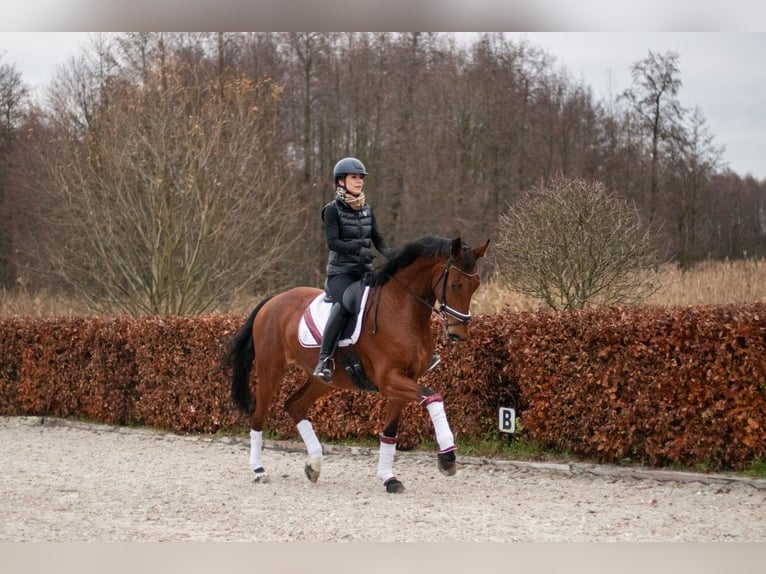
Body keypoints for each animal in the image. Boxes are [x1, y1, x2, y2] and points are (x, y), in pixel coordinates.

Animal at [228, 235, 492, 496]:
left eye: (476, 285)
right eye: (455, 284)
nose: (459, 335)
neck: (402, 309)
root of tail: (272, 301)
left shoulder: (405, 382)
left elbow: (390, 433)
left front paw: (389, 478)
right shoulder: (389, 380)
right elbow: (434, 397)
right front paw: (447, 458)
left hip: (322, 380)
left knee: (294, 405)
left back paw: (314, 465)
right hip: (271, 369)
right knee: (258, 416)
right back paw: (259, 470)